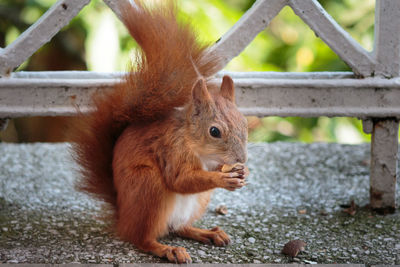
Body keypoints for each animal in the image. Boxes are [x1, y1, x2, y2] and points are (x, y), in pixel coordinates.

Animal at [71, 0, 247, 264]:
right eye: (214, 131)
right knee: (142, 239)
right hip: (149, 188)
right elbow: (179, 180)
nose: (241, 159)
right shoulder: (171, 149)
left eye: (245, 123)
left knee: (178, 227)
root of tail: (123, 218)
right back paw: (167, 249)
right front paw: (221, 178)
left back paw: (207, 233)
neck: (196, 146)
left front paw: (241, 172)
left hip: (197, 202)